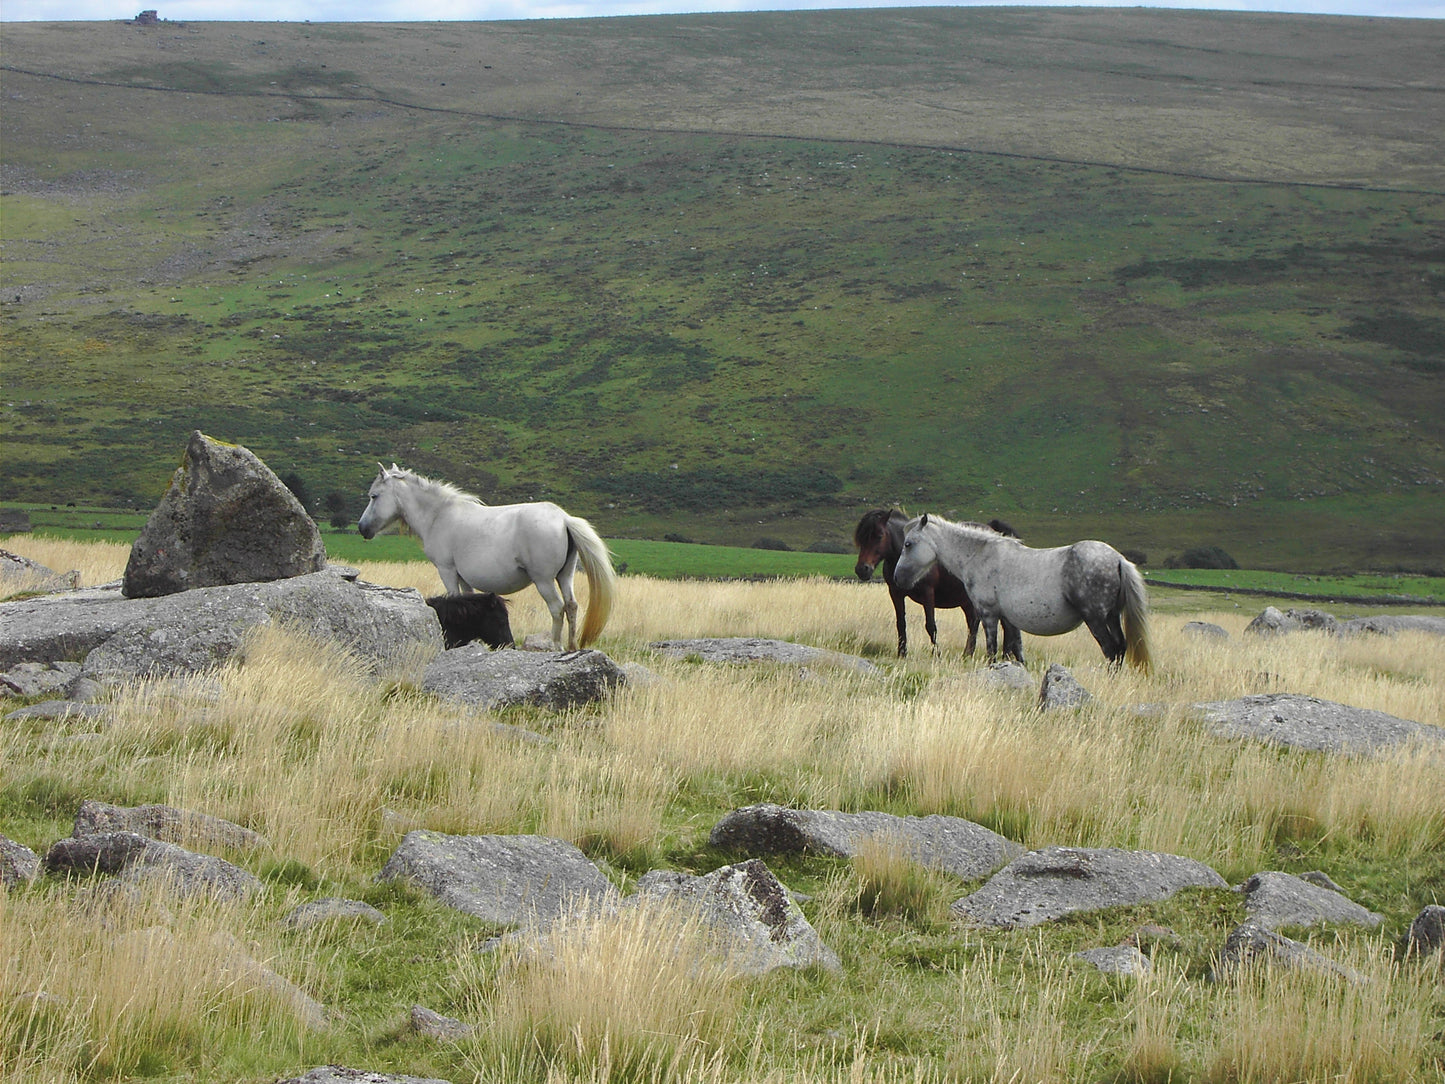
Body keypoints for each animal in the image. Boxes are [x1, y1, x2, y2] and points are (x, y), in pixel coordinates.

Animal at [358, 464, 616, 650]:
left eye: (374, 496)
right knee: (571, 606)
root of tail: (563, 518)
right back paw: (571, 648)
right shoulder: (464, 578)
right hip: (565, 576)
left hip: (543, 581)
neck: (438, 516)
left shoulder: (447, 571)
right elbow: (467, 600)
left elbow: (454, 599)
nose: (362, 528)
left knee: (557, 608)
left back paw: (554, 647)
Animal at [853, 508, 1018, 657]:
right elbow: (901, 624)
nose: (862, 569)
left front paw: (936, 654)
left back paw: (1004, 655)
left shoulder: (928, 592)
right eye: (860, 539)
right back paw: (970, 654)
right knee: (975, 623)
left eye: (879, 536)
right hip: (967, 601)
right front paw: (902, 653)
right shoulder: (895, 593)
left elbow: (930, 625)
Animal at [892, 513, 1151, 669]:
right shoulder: (1009, 619)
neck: (980, 556)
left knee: (1111, 650)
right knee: (1120, 648)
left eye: (908, 544)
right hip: (1111, 616)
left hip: (1095, 618)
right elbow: (1016, 648)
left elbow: (992, 649)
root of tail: (1118, 559)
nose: (897, 578)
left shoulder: (988, 614)